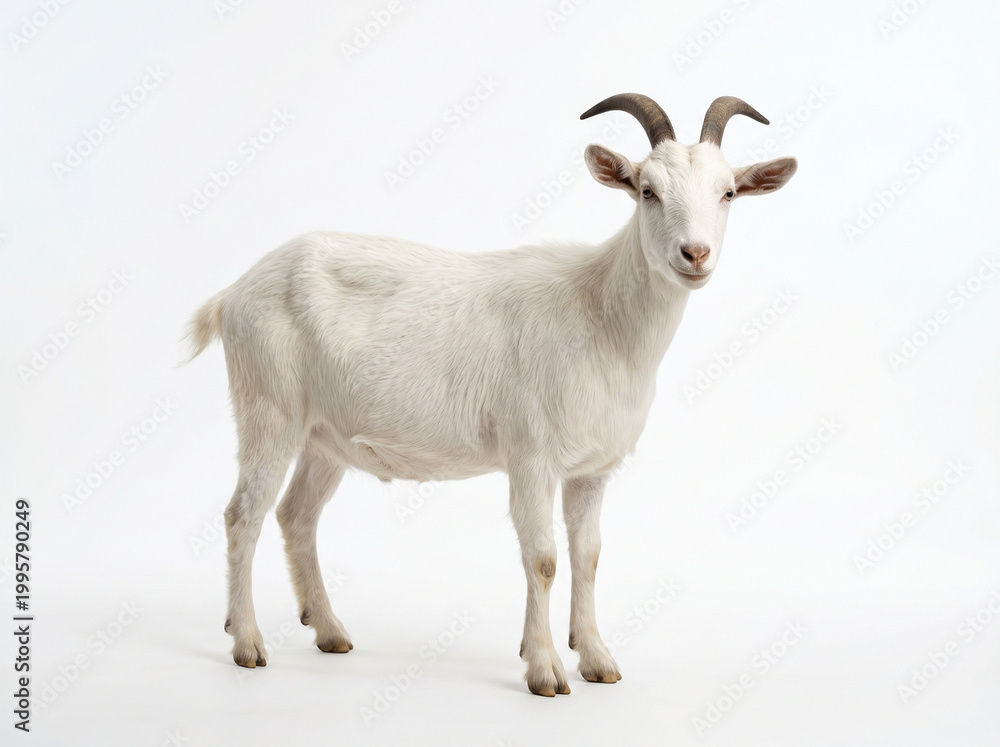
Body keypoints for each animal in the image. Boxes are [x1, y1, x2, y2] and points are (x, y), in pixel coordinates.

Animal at [186, 93, 797, 696]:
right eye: (648, 190)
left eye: (728, 192)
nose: (695, 254)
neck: (599, 315)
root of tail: (233, 293)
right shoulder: (531, 455)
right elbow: (544, 559)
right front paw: (545, 670)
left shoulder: (593, 469)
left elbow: (588, 556)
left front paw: (596, 659)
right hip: (269, 408)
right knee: (243, 514)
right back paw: (247, 643)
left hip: (324, 435)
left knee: (297, 515)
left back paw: (330, 631)